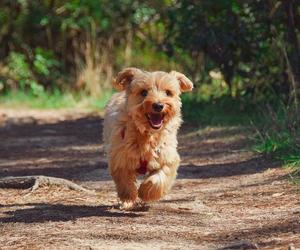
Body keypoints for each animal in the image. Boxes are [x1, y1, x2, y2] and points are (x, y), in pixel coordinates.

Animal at [102, 68, 192, 209]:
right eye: (144, 92)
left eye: (168, 92)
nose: (158, 105)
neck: (147, 134)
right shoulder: (120, 157)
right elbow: (124, 180)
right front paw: (129, 197)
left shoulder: (167, 156)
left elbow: (160, 177)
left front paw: (146, 192)